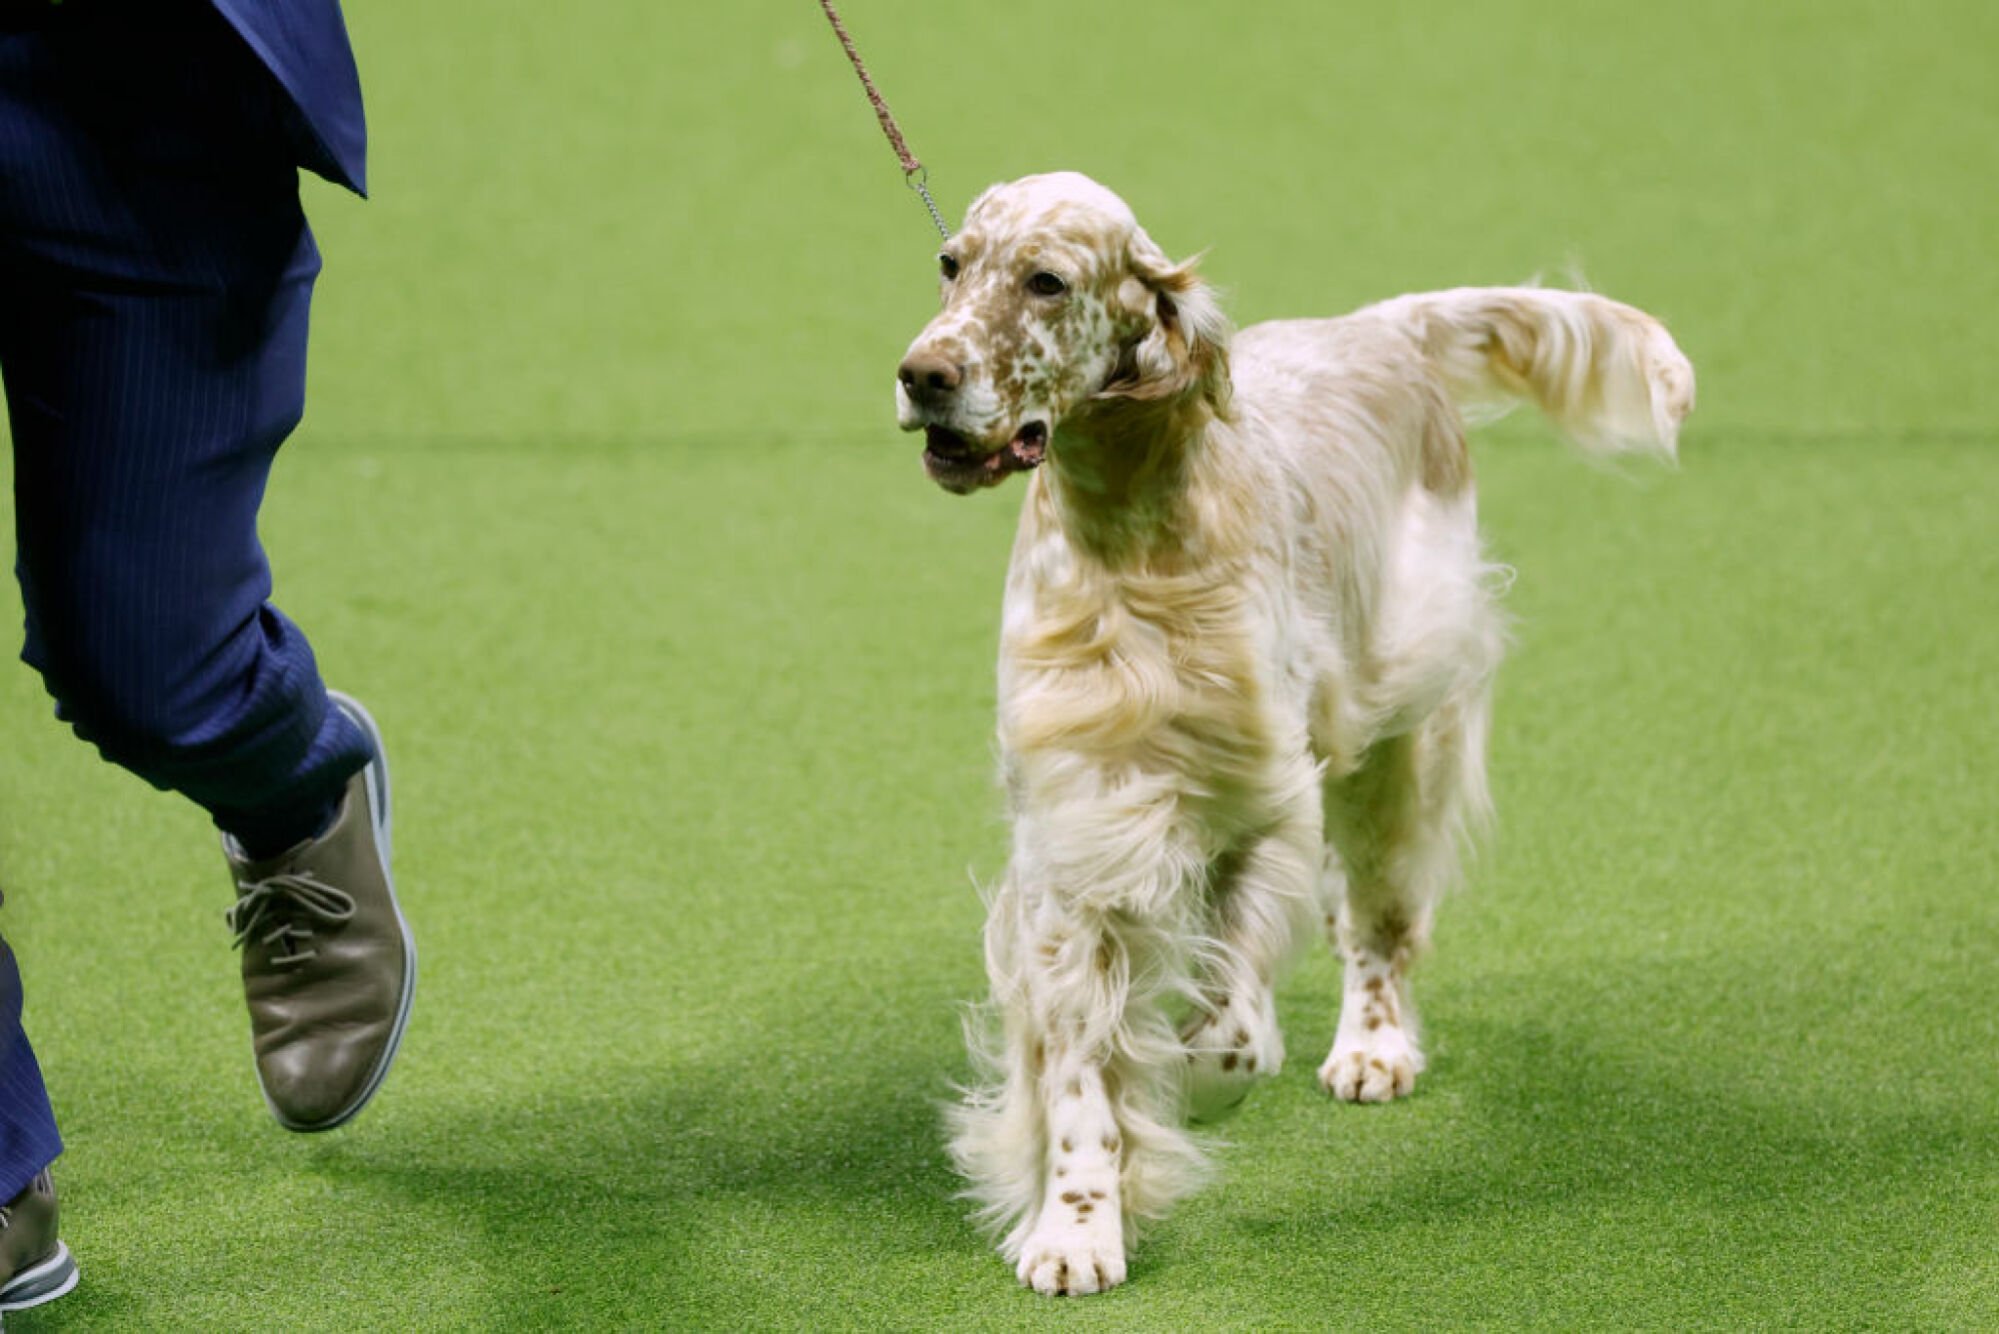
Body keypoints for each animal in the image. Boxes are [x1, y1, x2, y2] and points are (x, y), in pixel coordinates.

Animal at [899, 170, 1695, 1296]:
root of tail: (1381, 329)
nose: (921, 375)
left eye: (1046, 281)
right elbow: (1080, 1078)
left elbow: (1226, 1037)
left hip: (1395, 739)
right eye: (951, 264)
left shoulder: (1264, 804)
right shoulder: (1073, 844)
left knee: (1376, 925)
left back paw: (1372, 1048)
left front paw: (1190, 1087)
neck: (1132, 546)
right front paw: (1075, 1229)